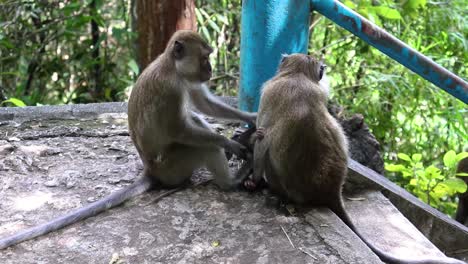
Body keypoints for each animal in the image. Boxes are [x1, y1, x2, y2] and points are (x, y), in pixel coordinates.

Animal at [0, 30, 256, 250]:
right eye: (204, 57)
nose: (210, 69)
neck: (172, 67)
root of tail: (151, 171)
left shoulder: (186, 80)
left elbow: (204, 104)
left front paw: (250, 118)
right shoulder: (171, 90)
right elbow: (179, 130)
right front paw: (230, 143)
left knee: (196, 120)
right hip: (173, 168)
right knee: (205, 148)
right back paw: (231, 180)